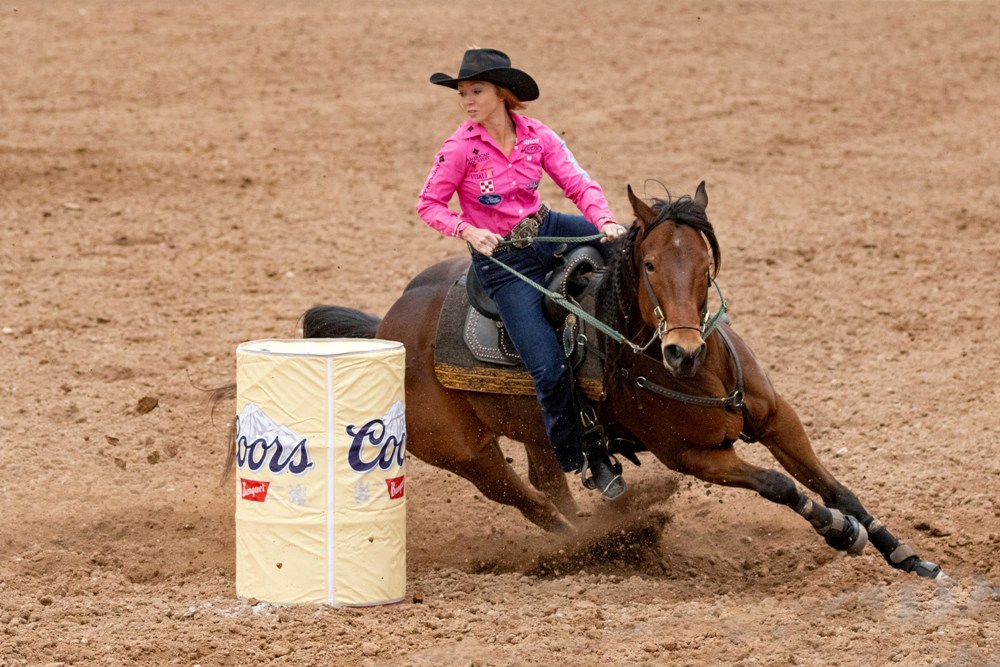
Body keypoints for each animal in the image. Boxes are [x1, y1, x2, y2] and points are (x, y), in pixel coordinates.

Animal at [230, 181, 940, 580]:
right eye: (649, 265)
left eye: (705, 263)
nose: (681, 351)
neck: (697, 372)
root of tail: (388, 324)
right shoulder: (693, 457)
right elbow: (781, 486)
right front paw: (837, 533)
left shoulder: (776, 418)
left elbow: (837, 486)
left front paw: (908, 555)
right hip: (467, 453)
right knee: (532, 503)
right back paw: (595, 546)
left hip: (540, 430)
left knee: (551, 484)